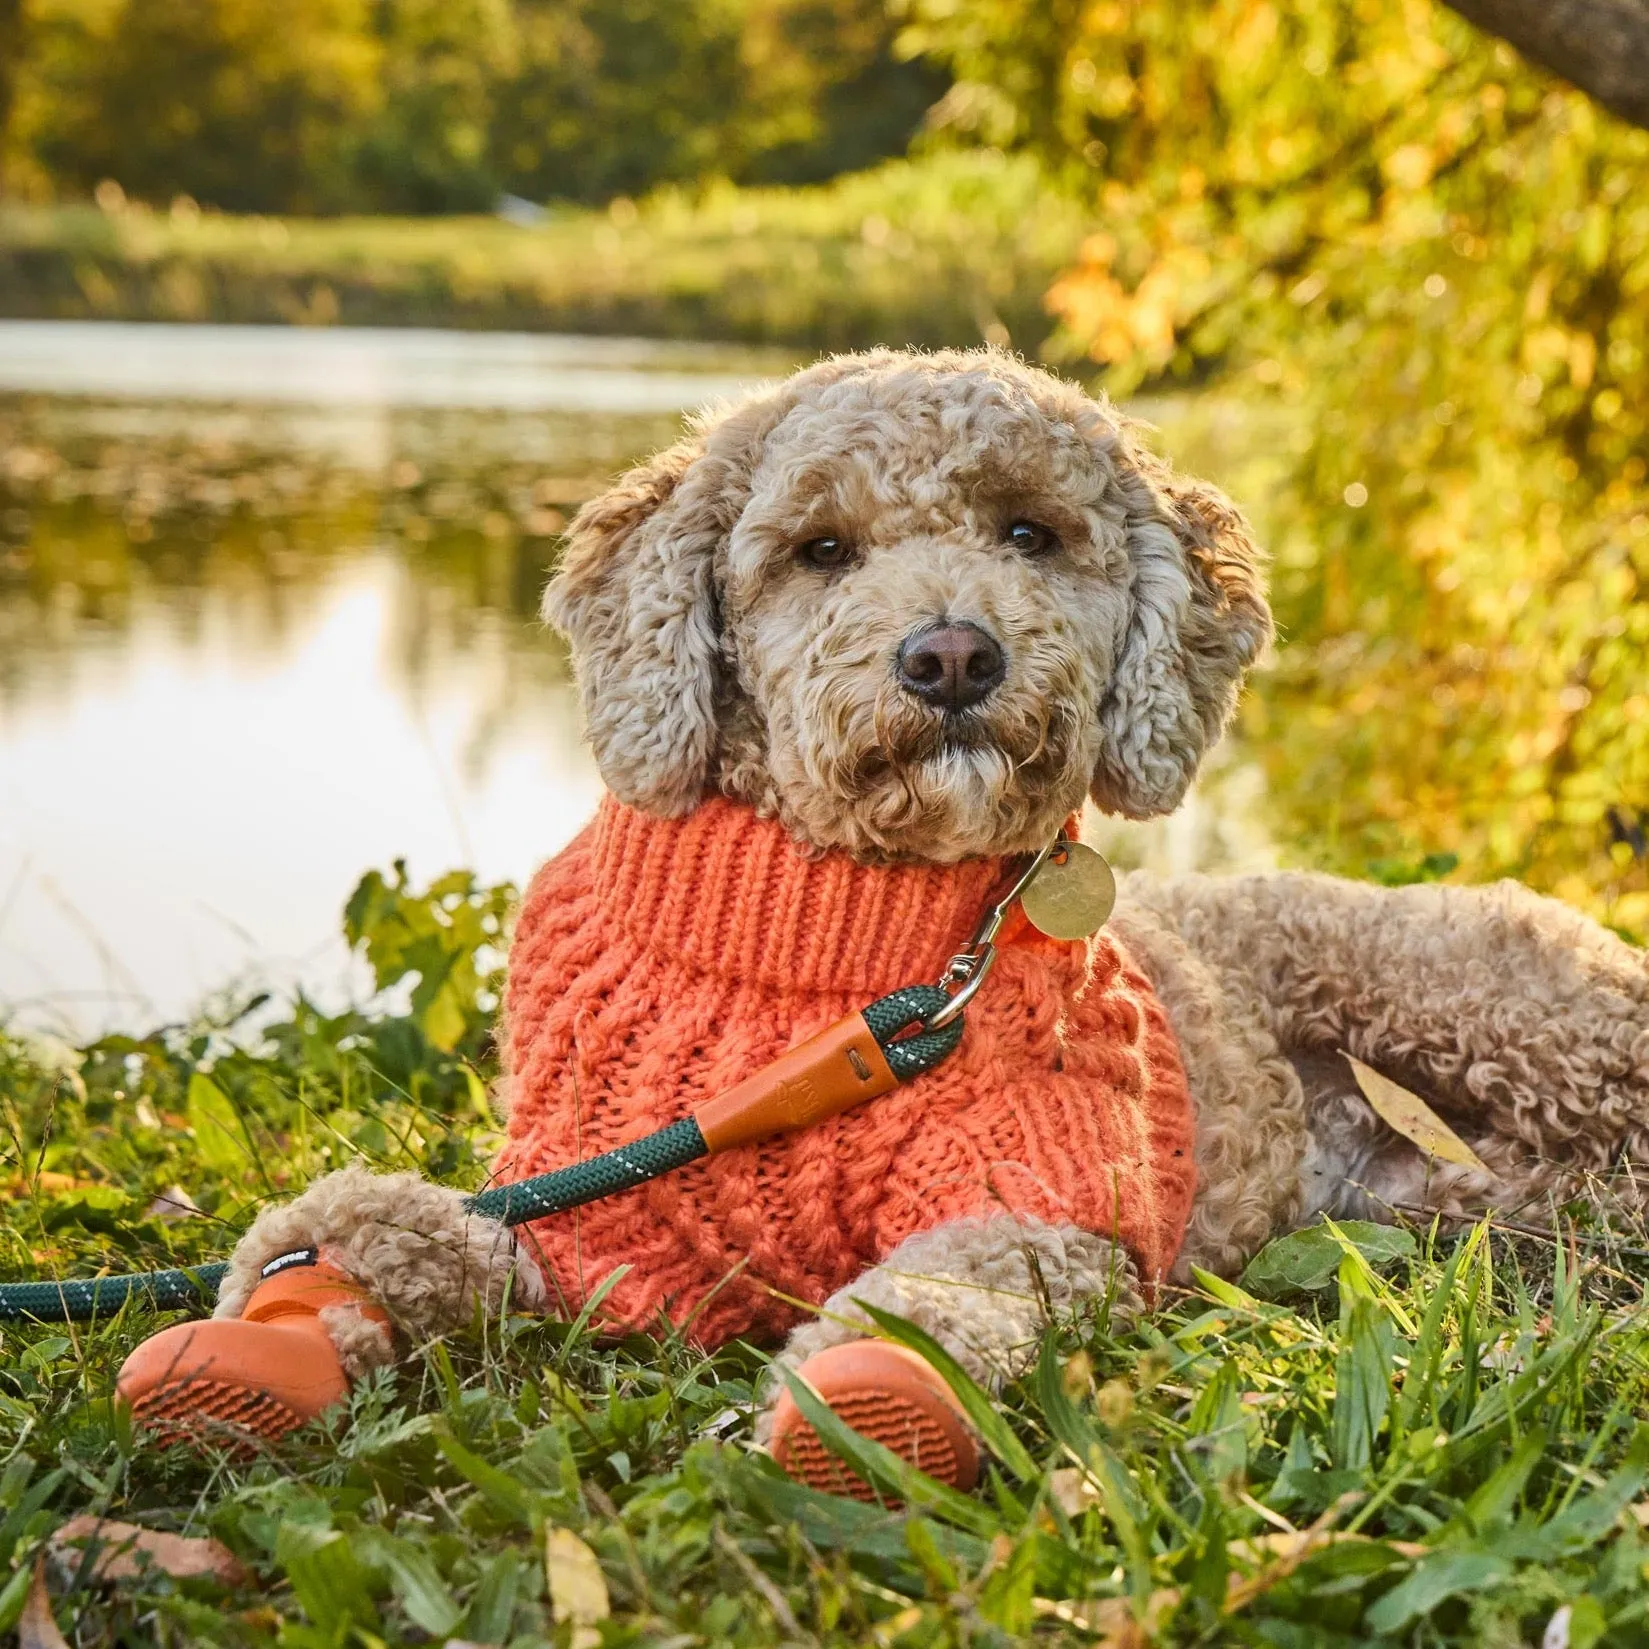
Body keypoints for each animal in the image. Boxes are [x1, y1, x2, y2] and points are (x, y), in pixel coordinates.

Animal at [119, 344, 1649, 1484]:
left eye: (1031, 532)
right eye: (819, 549)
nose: (953, 654)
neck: (833, 969)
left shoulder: (1032, 1186)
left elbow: (955, 1281)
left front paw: (869, 1393)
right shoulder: (604, 1210)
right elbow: (390, 1222)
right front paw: (277, 1332)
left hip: (1470, 991)